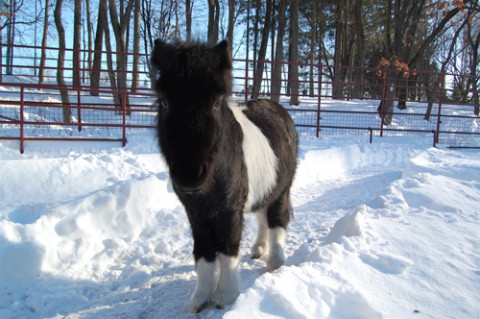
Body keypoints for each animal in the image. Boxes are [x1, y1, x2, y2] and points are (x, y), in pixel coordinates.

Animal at [152, 40, 298, 316]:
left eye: (217, 102)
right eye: (164, 102)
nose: (189, 175)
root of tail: (278, 109)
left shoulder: (229, 210)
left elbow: (228, 248)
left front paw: (225, 296)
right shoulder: (196, 213)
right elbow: (204, 253)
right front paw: (200, 298)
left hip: (282, 189)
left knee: (276, 219)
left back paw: (275, 260)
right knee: (262, 216)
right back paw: (258, 249)